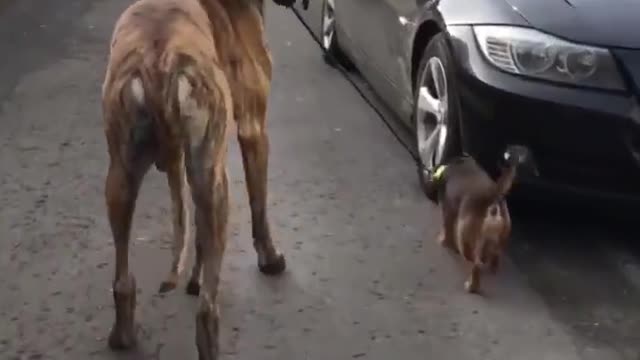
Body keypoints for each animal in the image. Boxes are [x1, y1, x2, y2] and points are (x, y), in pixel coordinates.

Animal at [102, 0, 302, 356]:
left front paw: (194, 277)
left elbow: (196, 233)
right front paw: (270, 259)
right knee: (207, 311)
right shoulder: (253, 130)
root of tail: (158, 60)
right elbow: (259, 207)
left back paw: (122, 335)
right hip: (215, 185)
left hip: (121, 178)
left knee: (123, 278)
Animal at [424, 147, 536, 296]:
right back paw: (492, 269)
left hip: (465, 236)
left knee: (476, 265)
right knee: (494, 256)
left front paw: (443, 242)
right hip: (499, 237)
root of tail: (493, 195)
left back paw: (472, 286)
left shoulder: (448, 212)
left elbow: (446, 229)